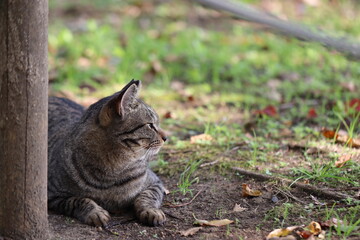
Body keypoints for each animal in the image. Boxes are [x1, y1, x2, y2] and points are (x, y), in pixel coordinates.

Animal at [46, 79, 167, 227]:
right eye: (150, 125)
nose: (166, 137)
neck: (114, 169)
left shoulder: (155, 182)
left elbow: (147, 196)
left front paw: (151, 211)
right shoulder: (53, 194)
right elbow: (79, 200)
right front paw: (95, 212)